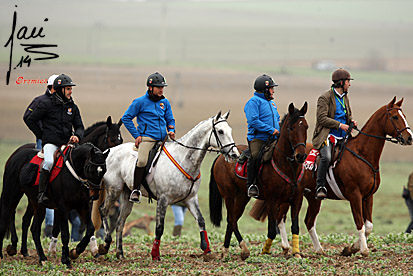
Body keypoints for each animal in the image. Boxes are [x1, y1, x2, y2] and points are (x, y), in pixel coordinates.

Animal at [3, 116, 122, 264]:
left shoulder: (83, 205)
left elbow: (89, 229)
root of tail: (16, 154)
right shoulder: (62, 205)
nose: (94, 194)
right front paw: (61, 254)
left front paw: (81, 251)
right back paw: (15, 247)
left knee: (26, 222)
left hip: (33, 201)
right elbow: (62, 230)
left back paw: (26, 252)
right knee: (10, 214)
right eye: (112, 139)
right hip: (13, 193)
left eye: (120, 140)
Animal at [93, 111, 238, 260]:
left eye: (230, 130)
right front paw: (155, 254)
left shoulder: (191, 199)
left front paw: (206, 249)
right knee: (103, 210)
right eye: (220, 131)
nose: (234, 154)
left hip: (127, 196)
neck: (184, 158)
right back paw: (105, 245)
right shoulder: (163, 199)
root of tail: (108, 152)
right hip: (114, 190)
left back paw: (120, 253)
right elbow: (159, 228)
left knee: (120, 223)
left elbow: (201, 221)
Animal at [208, 102, 308, 260]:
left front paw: (296, 253)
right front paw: (265, 252)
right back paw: (242, 249)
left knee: (232, 219)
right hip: (229, 194)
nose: (301, 156)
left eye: (306, 127)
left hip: (242, 197)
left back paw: (225, 250)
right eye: (291, 128)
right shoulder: (272, 199)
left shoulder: (296, 199)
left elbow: (295, 227)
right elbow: (272, 229)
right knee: (231, 219)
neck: (287, 165)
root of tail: (221, 157)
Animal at [298, 97, 410, 256]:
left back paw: (319, 250)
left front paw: (351, 248)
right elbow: (360, 223)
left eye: (404, 116)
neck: (362, 154)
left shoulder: (368, 196)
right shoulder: (355, 196)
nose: (409, 137)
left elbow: (368, 226)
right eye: (395, 117)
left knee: (309, 221)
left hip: (313, 198)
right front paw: (363, 250)